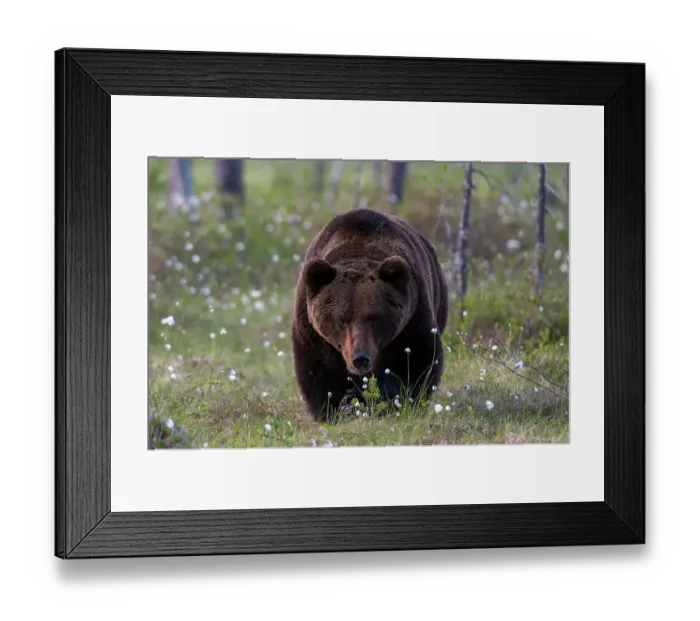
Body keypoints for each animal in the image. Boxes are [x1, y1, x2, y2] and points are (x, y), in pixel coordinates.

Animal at [291, 208, 448, 422]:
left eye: (374, 318)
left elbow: (414, 360)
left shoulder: (411, 320)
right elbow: (320, 370)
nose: (360, 358)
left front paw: (395, 402)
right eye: (342, 319)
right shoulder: (312, 331)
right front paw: (338, 409)